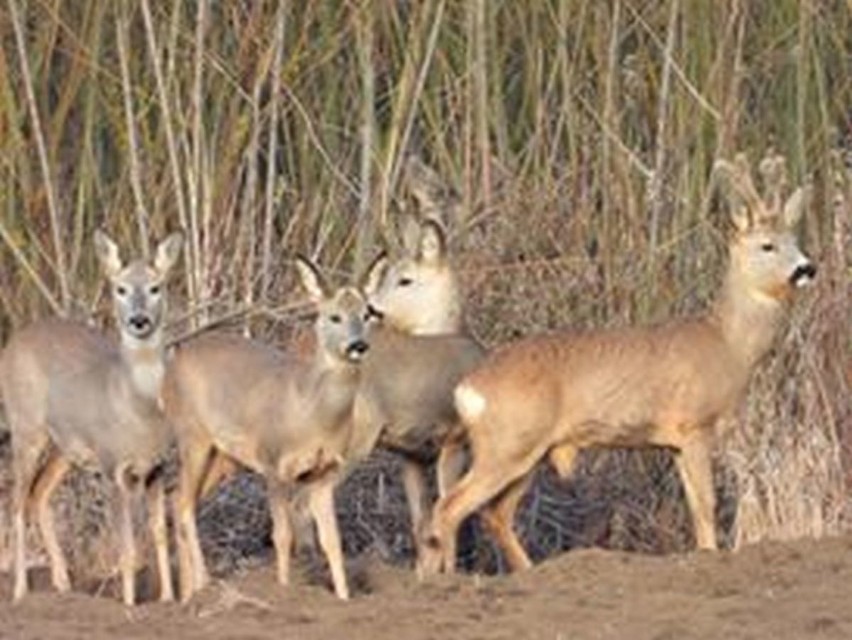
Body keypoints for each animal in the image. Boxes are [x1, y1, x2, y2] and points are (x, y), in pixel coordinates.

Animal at [0, 231, 185, 604]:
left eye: (156, 287)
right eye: (121, 289)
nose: (139, 320)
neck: (138, 410)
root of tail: (13, 341)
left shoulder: (157, 466)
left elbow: (158, 532)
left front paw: (168, 600)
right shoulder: (113, 465)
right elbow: (126, 545)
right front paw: (129, 605)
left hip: (66, 447)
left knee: (39, 495)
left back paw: (62, 584)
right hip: (26, 428)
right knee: (16, 501)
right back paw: (21, 591)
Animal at [161, 255, 372, 600]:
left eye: (367, 313)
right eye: (334, 316)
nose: (358, 345)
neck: (311, 411)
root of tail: (169, 368)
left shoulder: (324, 472)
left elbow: (332, 541)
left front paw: (343, 598)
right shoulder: (274, 463)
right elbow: (282, 535)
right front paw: (283, 591)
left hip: (225, 457)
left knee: (177, 496)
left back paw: (187, 594)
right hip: (192, 436)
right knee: (184, 505)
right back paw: (204, 584)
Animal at [420, 154, 820, 576]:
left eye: (797, 241)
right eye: (768, 246)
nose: (807, 268)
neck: (727, 344)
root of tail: (467, 388)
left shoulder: (674, 442)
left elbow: (695, 507)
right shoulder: (695, 424)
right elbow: (708, 506)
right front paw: (710, 559)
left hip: (526, 450)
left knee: (493, 513)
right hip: (508, 442)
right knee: (450, 506)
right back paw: (444, 579)